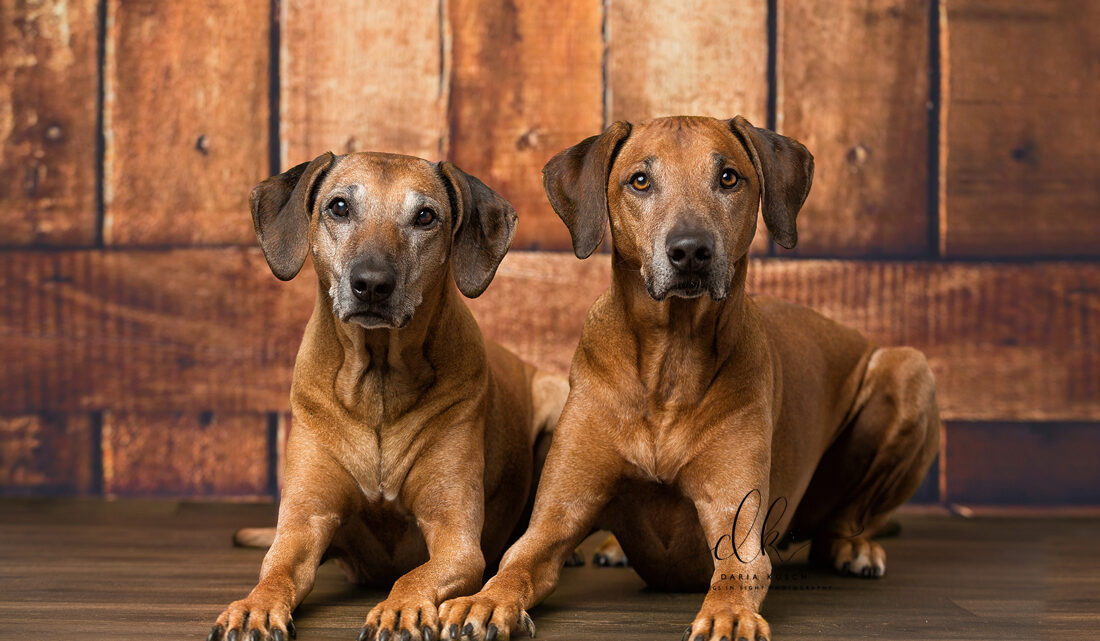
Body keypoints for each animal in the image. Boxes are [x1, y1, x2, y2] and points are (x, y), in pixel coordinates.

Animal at [206, 152, 567, 641]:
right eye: (339, 207)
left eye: (425, 216)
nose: (372, 283)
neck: (376, 383)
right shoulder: (304, 522)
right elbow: (276, 569)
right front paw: (253, 608)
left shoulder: (455, 537)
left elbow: (415, 574)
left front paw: (399, 610)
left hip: (558, 398)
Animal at [435, 116, 937, 641]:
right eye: (640, 180)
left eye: (729, 177)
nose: (691, 250)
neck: (669, 363)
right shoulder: (556, 516)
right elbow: (515, 561)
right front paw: (484, 602)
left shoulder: (735, 517)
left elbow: (736, 570)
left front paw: (729, 615)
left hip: (910, 369)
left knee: (849, 518)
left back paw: (852, 545)